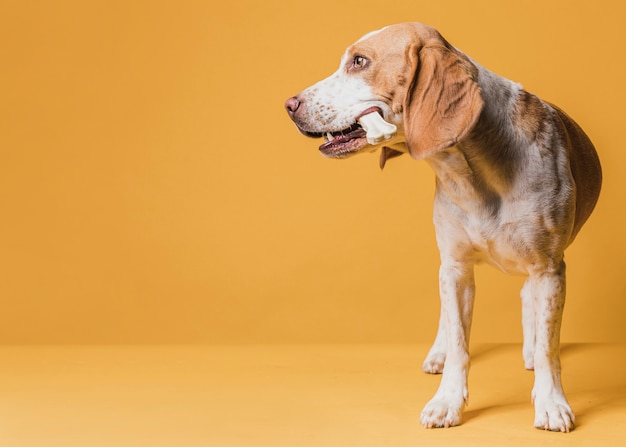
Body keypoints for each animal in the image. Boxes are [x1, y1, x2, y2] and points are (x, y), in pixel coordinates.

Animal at [284, 22, 600, 432]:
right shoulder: (455, 267)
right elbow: (459, 345)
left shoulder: (548, 268)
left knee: (528, 301)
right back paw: (440, 351)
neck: (475, 172)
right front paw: (447, 400)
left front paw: (550, 402)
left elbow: (549, 348)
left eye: (359, 62)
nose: (289, 105)